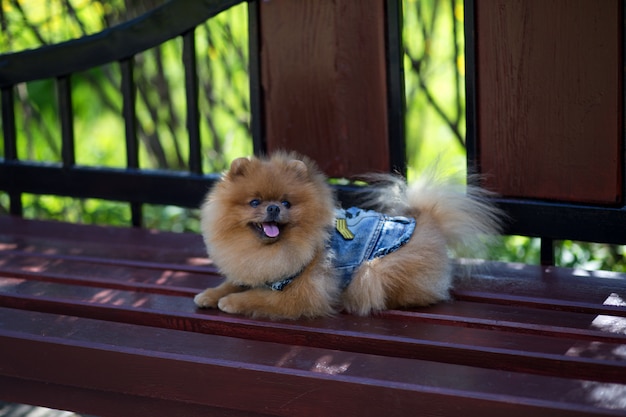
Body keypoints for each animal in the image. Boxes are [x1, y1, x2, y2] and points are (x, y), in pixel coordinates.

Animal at [193, 152, 500, 318]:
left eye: (287, 203)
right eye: (254, 202)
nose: (273, 207)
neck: (268, 250)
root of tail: (427, 220)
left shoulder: (301, 293)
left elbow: (259, 297)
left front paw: (232, 302)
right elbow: (234, 283)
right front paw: (210, 294)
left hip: (375, 272)